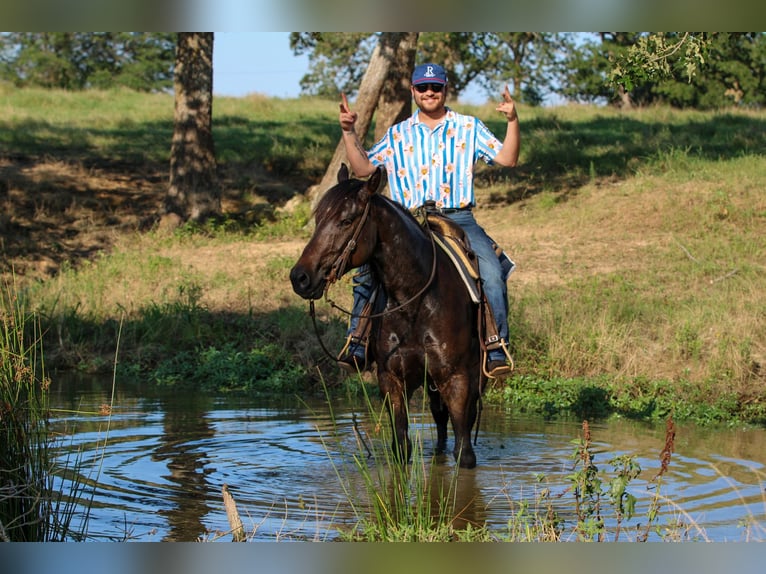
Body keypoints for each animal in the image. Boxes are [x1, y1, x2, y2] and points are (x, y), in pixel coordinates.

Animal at [292, 164, 488, 470]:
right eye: (318, 219)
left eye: (347, 220)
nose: (299, 278)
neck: (416, 301)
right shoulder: (392, 382)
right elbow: (401, 447)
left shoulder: (456, 380)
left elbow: (464, 453)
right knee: (439, 419)